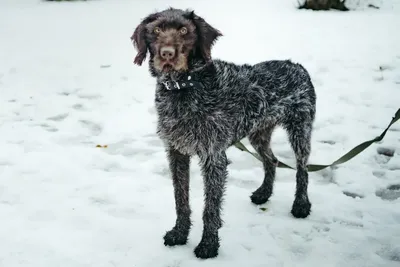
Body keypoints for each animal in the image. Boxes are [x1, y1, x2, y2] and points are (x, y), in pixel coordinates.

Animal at [130, 7, 316, 260]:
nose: (167, 54)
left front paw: (208, 245)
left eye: (184, 30)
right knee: (271, 160)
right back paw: (263, 193)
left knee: (302, 169)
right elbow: (181, 200)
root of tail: (298, 66)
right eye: (156, 30)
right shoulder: (177, 152)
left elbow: (210, 209)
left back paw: (301, 205)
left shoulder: (213, 157)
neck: (184, 87)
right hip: (258, 133)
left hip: (300, 130)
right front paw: (179, 234)